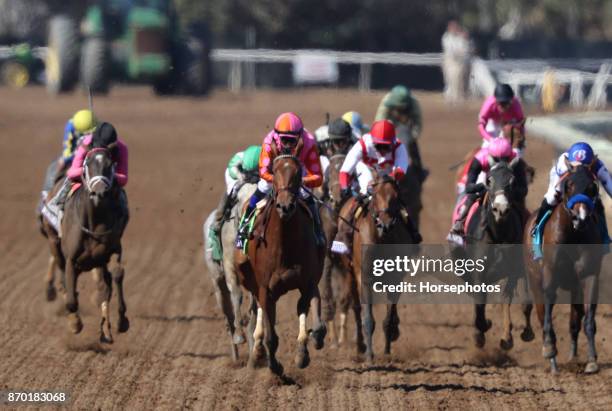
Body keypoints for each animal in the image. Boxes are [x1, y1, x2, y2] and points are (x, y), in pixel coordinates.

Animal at [41, 146, 130, 342]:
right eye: (87, 164)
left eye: (110, 164)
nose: (99, 192)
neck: (95, 223)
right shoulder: (71, 260)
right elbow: (71, 299)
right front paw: (75, 323)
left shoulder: (113, 250)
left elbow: (116, 275)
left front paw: (121, 321)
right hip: (53, 241)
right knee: (62, 277)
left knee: (106, 285)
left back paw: (106, 329)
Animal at [235, 155, 328, 376]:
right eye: (274, 171)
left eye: (298, 173)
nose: (285, 207)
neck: (285, 244)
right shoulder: (265, 288)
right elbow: (271, 336)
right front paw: (274, 366)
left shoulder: (308, 283)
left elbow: (310, 315)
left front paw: (304, 352)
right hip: (250, 277)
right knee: (260, 309)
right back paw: (257, 350)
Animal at [524, 160, 604, 374]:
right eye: (568, 185)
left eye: (592, 187)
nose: (580, 218)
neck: (573, 234)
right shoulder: (550, 275)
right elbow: (547, 316)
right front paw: (550, 350)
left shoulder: (589, 275)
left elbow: (588, 319)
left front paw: (592, 360)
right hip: (534, 280)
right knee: (541, 312)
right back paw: (552, 359)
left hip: (574, 286)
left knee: (574, 320)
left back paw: (573, 356)